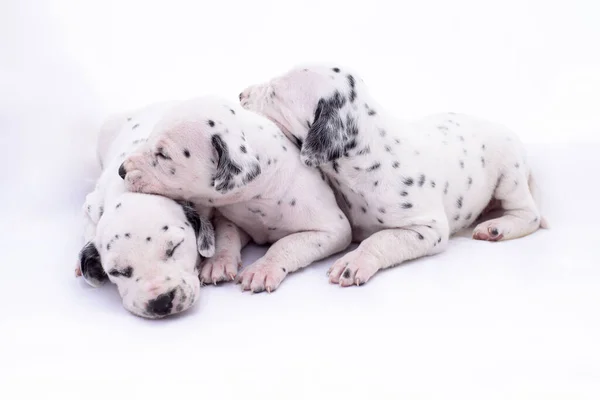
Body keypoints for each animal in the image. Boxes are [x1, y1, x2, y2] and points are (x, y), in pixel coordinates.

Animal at [118, 95, 352, 292]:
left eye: (163, 155)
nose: (121, 170)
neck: (257, 200)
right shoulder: (227, 216)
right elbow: (226, 233)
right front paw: (218, 262)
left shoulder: (333, 230)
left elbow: (287, 243)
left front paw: (263, 269)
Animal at [239, 64, 548, 286]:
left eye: (275, 93)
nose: (241, 94)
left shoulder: (428, 228)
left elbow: (381, 239)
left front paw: (353, 263)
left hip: (510, 173)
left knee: (528, 214)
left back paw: (498, 227)